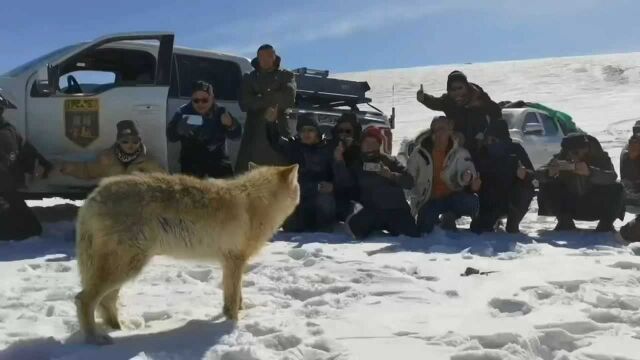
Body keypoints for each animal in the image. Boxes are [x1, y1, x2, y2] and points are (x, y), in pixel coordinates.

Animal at [74, 163, 298, 344]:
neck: (256, 202)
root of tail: (93, 196)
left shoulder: (229, 263)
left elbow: (232, 297)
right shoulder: (235, 261)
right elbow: (234, 299)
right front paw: (233, 326)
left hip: (124, 271)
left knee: (106, 301)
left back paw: (119, 329)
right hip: (126, 268)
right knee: (83, 299)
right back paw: (95, 338)